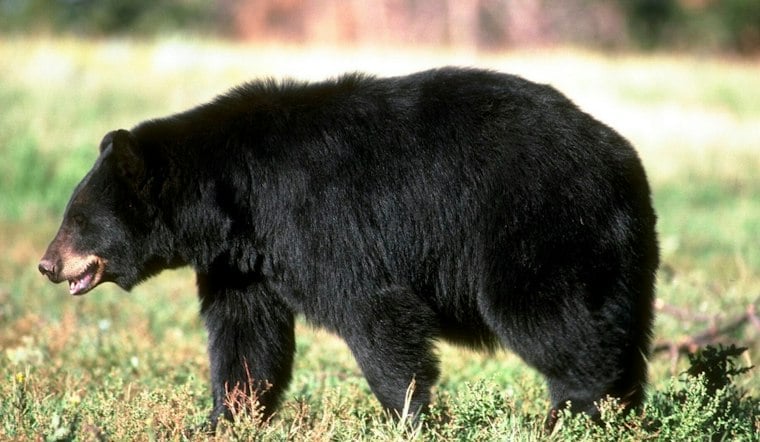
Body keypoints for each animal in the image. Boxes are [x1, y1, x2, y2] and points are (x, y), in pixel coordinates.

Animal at [39, 67, 658, 432]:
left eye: (79, 219)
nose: (48, 264)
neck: (234, 197)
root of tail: (620, 156)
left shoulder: (319, 219)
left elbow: (372, 311)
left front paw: (408, 416)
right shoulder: (243, 262)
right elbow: (246, 336)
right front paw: (223, 419)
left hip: (535, 223)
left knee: (551, 320)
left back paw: (575, 412)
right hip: (619, 251)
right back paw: (621, 410)